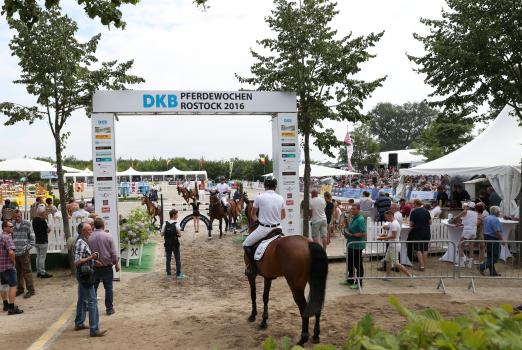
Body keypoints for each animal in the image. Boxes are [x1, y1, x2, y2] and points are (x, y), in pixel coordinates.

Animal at [243, 204, 324, 346]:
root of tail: (308, 243)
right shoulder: (267, 277)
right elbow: (265, 297)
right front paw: (264, 321)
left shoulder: (251, 276)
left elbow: (253, 294)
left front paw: (253, 316)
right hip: (314, 281)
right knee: (316, 304)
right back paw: (315, 336)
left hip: (296, 286)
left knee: (304, 308)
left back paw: (302, 340)